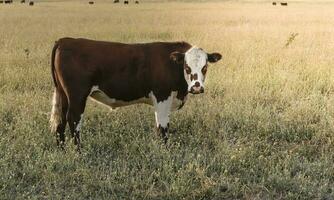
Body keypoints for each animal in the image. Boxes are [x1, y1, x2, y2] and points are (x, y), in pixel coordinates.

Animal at [49, 38, 222, 150]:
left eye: (205, 67)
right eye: (186, 67)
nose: (197, 88)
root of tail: (65, 40)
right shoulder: (162, 96)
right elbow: (163, 127)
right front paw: (165, 151)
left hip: (63, 94)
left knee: (61, 120)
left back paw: (62, 150)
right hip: (77, 95)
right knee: (73, 120)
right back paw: (79, 151)